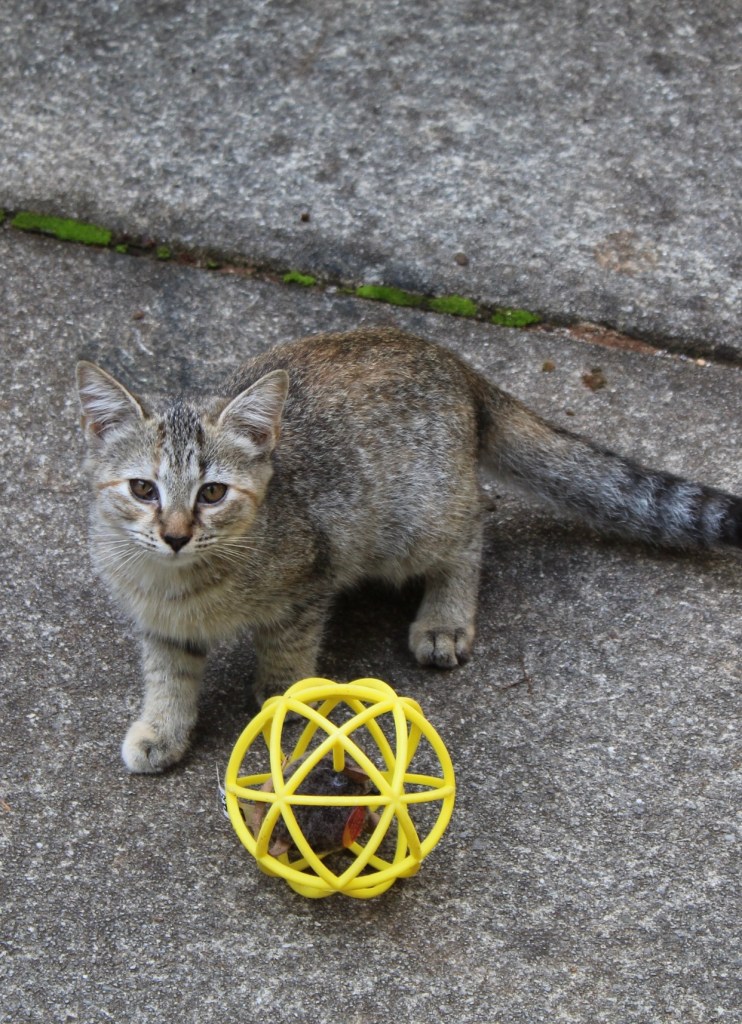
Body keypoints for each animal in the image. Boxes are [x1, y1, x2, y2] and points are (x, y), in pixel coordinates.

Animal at [76, 327, 742, 773]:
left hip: (415, 523)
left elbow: (289, 653)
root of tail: (454, 362)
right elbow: (169, 675)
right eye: (143, 489)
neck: (184, 581)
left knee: (475, 523)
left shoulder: (311, 581)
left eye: (212, 492)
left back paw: (444, 617)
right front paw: (164, 729)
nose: (175, 533)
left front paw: (282, 698)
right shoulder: (161, 623)